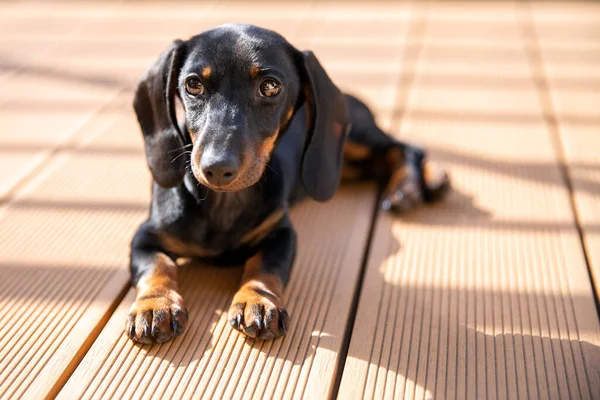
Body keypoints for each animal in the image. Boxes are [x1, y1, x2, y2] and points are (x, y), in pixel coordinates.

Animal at [126, 24, 448, 344]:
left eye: (270, 86)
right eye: (193, 85)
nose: (216, 168)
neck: (225, 204)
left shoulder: (281, 234)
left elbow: (265, 267)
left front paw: (257, 301)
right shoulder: (145, 236)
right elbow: (157, 265)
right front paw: (155, 306)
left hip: (356, 138)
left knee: (406, 148)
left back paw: (415, 186)